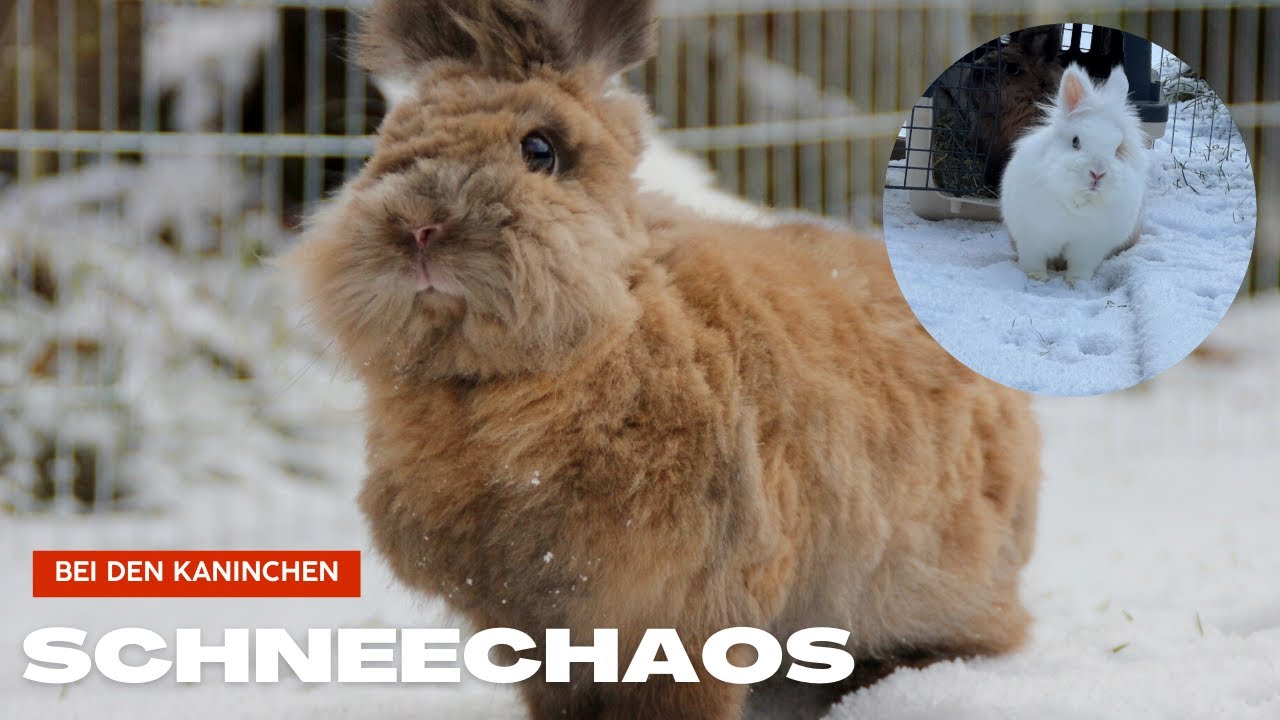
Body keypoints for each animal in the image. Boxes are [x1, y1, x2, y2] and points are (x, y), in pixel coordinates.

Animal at [1002, 63, 1150, 285]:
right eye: (1075, 141)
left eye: (1118, 149)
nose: (1097, 173)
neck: (1079, 202)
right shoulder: (1033, 236)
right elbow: (1034, 258)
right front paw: (1036, 277)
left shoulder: (1089, 247)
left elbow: (1081, 265)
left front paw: (1076, 282)